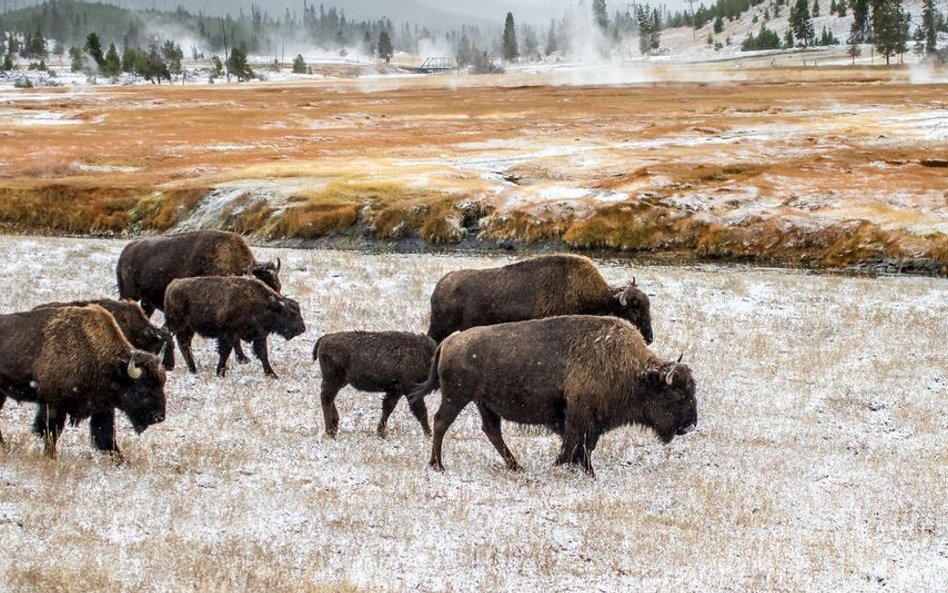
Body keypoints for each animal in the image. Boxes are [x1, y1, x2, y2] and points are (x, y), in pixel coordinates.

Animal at [0, 302, 167, 456]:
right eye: (143, 386)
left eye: (162, 384)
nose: (159, 416)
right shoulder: (53, 404)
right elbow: (51, 432)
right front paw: (51, 457)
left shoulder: (104, 409)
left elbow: (106, 436)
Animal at [165, 276, 306, 376]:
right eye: (291, 313)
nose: (302, 329)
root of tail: (172, 285)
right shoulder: (228, 335)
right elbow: (225, 352)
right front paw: (220, 373)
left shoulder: (259, 337)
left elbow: (263, 354)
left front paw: (272, 374)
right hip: (177, 324)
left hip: (187, 328)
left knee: (184, 344)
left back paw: (193, 369)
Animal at [408, 314, 696, 476]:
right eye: (676, 396)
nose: (689, 425)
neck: (633, 370)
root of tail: (449, 341)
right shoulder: (579, 416)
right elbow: (575, 443)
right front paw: (564, 467)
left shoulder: (586, 421)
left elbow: (583, 445)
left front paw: (584, 470)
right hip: (457, 396)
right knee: (441, 422)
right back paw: (438, 465)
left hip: (483, 402)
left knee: (491, 430)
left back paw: (516, 466)